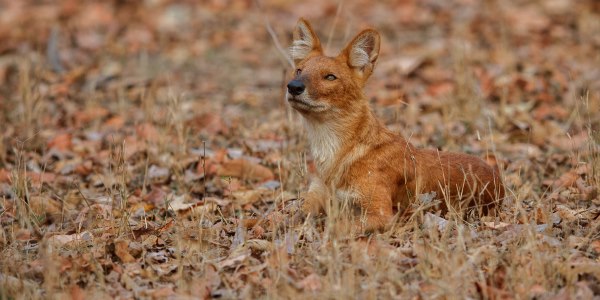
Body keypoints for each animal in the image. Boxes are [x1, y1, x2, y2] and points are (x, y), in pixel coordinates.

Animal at [288, 18, 504, 232]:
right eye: (299, 71)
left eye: (330, 77)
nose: (293, 86)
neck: (334, 153)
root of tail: (497, 176)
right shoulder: (315, 198)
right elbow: (286, 219)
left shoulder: (380, 214)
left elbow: (336, 226)